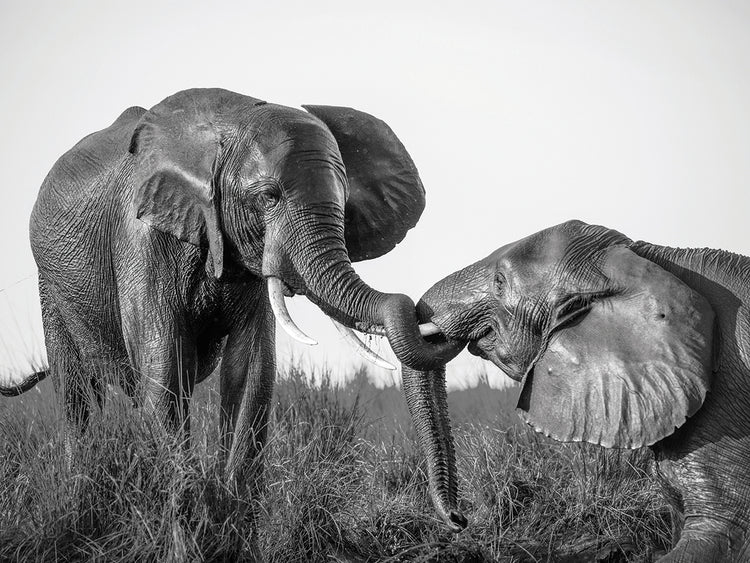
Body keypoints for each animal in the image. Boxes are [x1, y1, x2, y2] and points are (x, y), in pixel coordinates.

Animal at [1, 89, 462, 510]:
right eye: (268, 197)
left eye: (344, 203)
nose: (457, 517)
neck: (230, 126)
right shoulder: (141, 238)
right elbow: (163, 364)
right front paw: (184, 510)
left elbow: (249, 370)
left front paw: (232, 508)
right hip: (50, 286)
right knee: (76, 392)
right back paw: (81, 485)